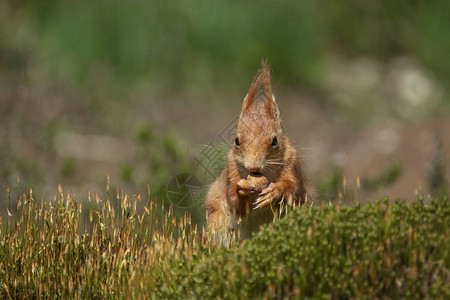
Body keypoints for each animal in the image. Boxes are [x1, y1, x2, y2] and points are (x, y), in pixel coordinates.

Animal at [206, 61, 308, 239]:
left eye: (275, 140)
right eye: (236, 140)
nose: (253, 167)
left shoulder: (292, 163)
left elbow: (293, 188)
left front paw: (274, 192)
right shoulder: (232, 169)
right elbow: (235, 203)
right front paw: (241, 191)